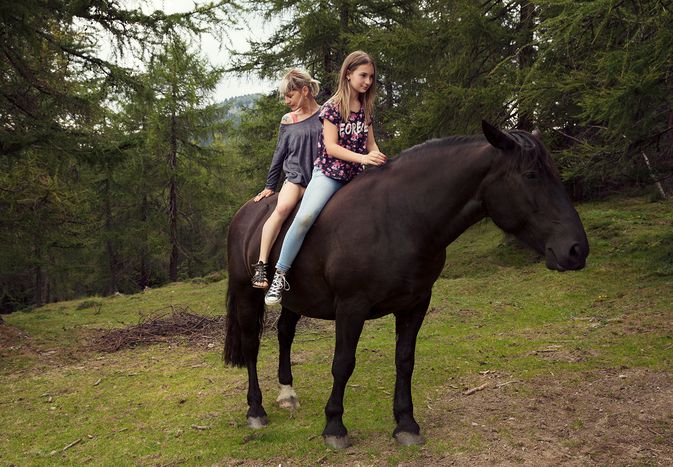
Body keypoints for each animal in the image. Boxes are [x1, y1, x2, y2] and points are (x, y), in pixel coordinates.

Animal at [223, 119, 584, 450]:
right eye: (531, 175)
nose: (576, 249)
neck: (400, 217)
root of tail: (248, 212)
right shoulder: (351, 307)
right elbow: (343, 364)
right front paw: (335, 427)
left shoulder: (416, 303)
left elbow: (405, 360)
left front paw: (406, 424)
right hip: (246, 294)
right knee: (252, 346)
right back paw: (256, 410)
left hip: (297, 299)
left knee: (285, 333)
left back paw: (287, 394)